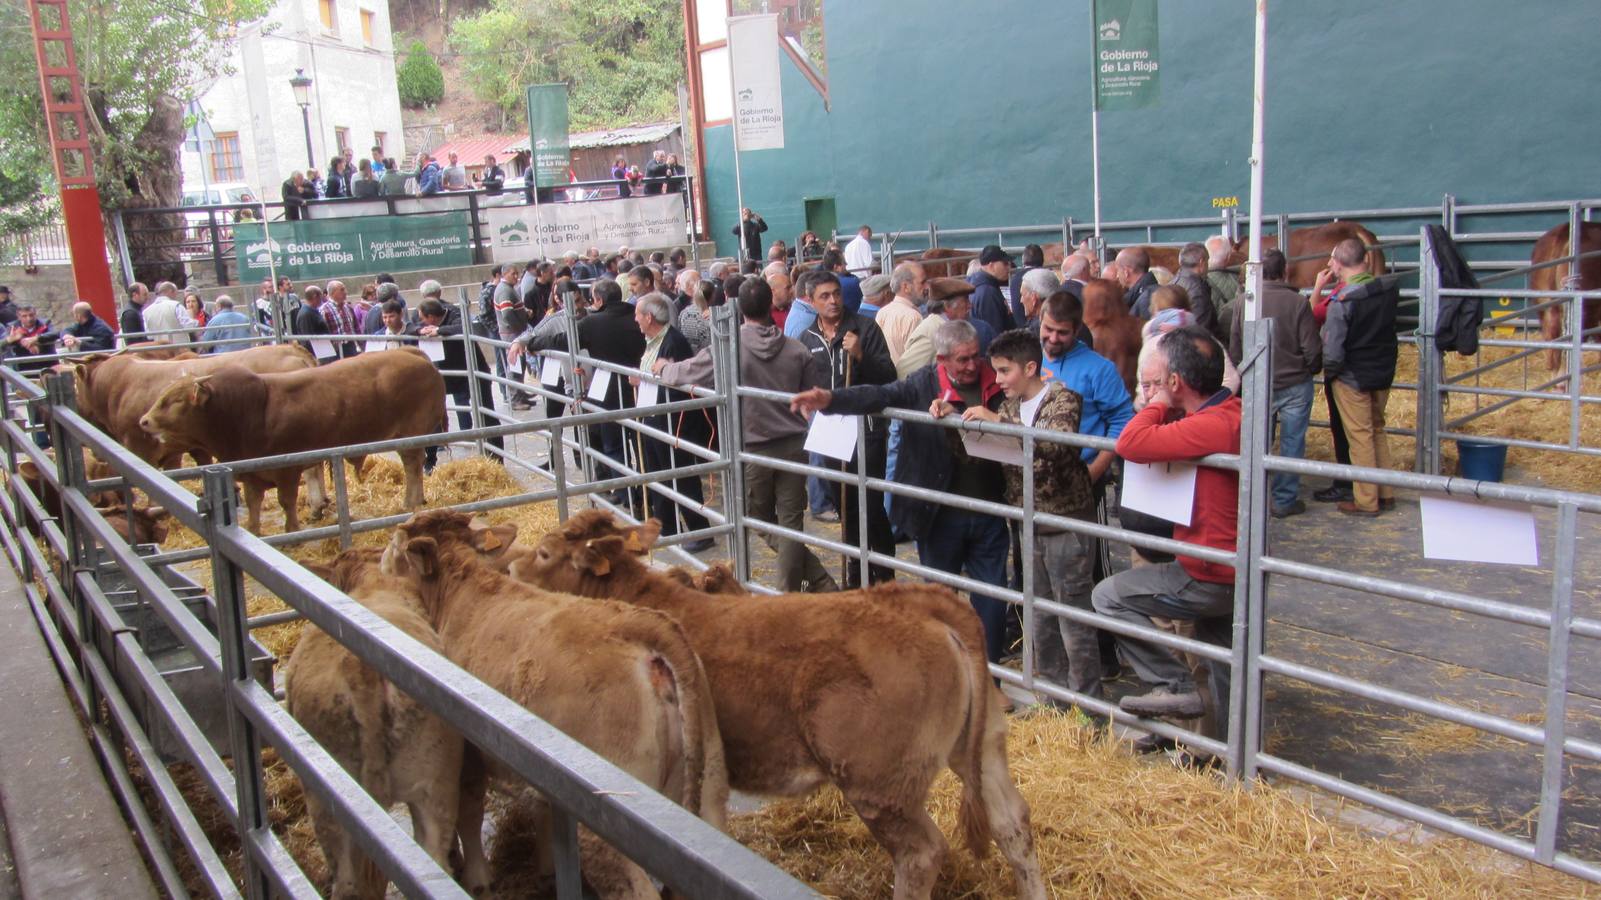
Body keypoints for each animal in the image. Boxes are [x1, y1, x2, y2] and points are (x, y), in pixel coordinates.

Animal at [136, 344, 445, 528]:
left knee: (413, 465)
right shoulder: (252, 472)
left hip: (410, 434)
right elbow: (254, 502)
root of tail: (411, 353)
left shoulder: (286, 469)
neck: (246, 411)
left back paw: (412, 501)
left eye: (175, 400)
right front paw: (254, 531)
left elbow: (286, 500)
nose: (144, 421)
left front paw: (292, 529)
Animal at [377, 509, 730, 890]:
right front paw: (546, 867)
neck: (460, 593)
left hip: (607, 821)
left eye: (396, 545)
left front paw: (477, 878)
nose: (380, 563)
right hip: (710, 788)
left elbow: (468, 814)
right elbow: (545, 814)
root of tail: (648, 628)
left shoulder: (466, 752)